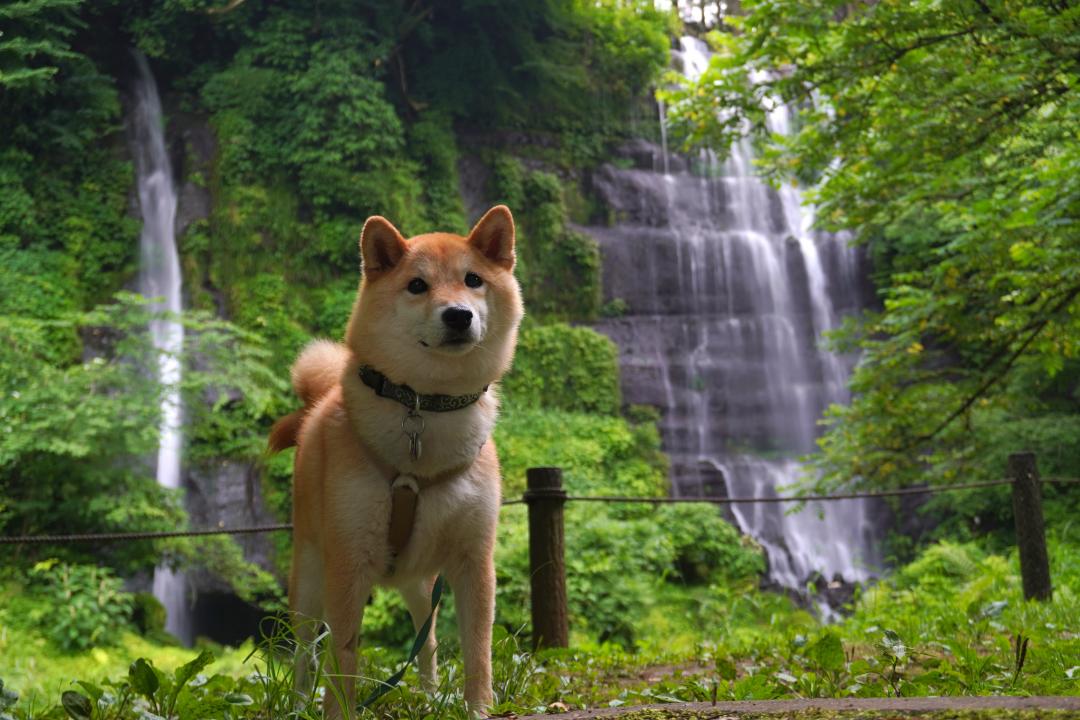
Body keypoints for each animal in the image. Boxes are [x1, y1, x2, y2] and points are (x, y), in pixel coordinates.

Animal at [267, 205, 524, 716]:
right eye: (417, 285)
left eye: (473, 280)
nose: (458, 315)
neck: (426, 407)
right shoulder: (349, 562)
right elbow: (343, 659)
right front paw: (339, 711)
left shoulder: (474, 559)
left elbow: (477, 652)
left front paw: (477, 709)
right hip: (310, 574)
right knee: (305, 651)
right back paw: (302, 704)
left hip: (420, 581)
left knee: (427, 640)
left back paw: (428, 694)